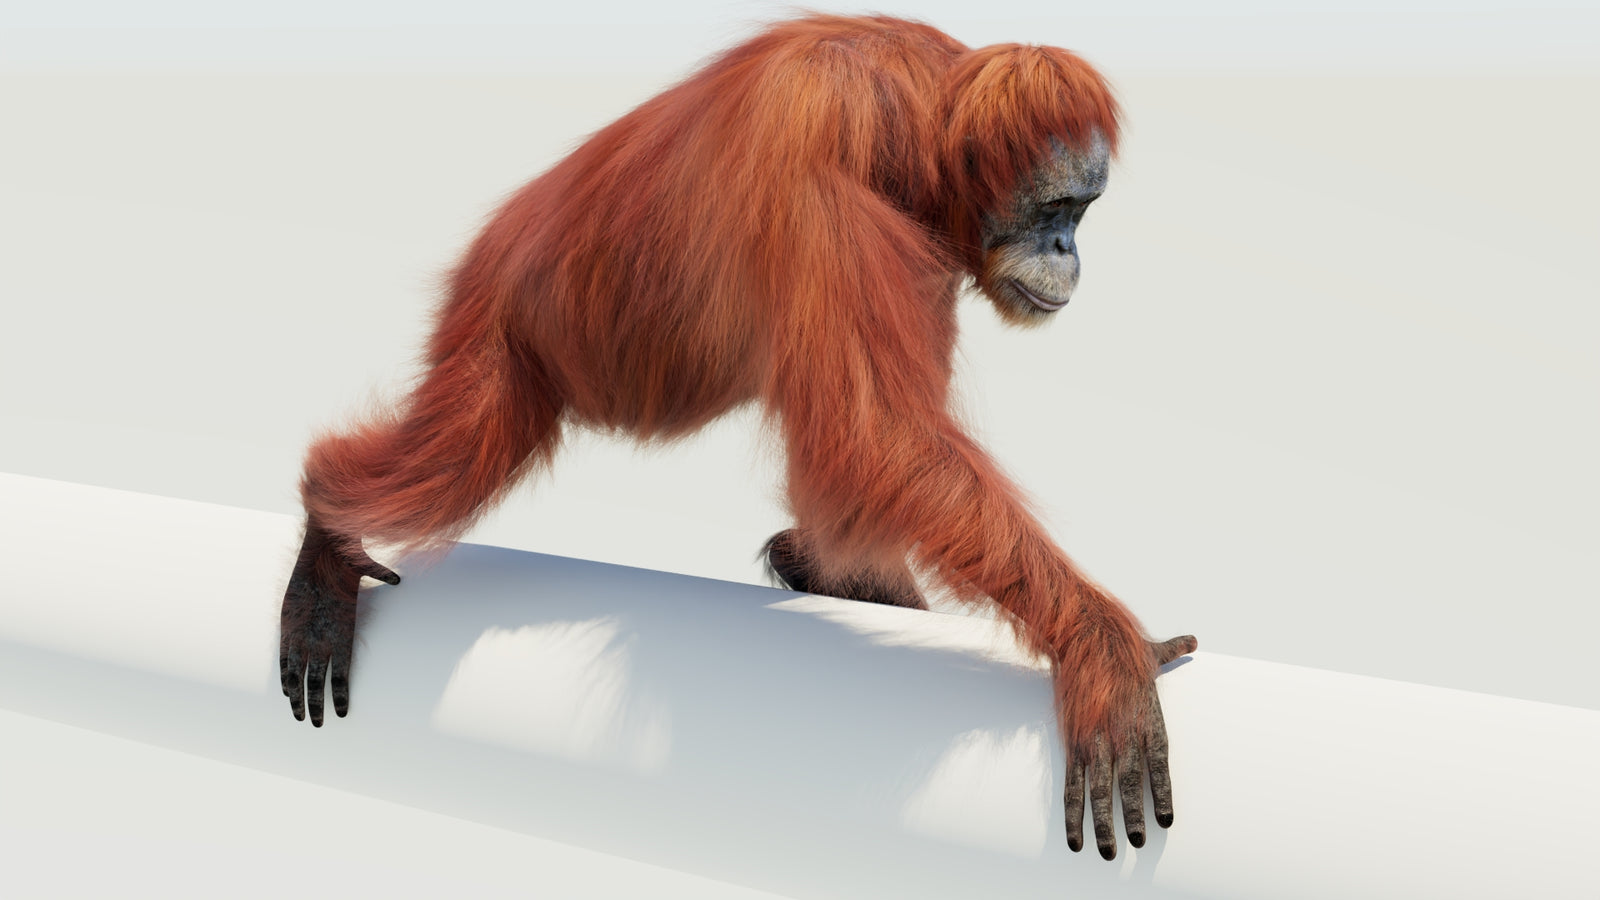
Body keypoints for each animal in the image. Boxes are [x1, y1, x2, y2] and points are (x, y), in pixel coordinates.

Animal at [279, 14, 1196, 861]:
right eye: (1056, 207)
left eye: (1082, 211)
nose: (1067, 249)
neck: (916, 110)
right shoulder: (817, 152)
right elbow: (873, 439)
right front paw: (1102, 650)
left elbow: (873, 464)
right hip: (499, 319)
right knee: (454, 459)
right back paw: (328, 530)